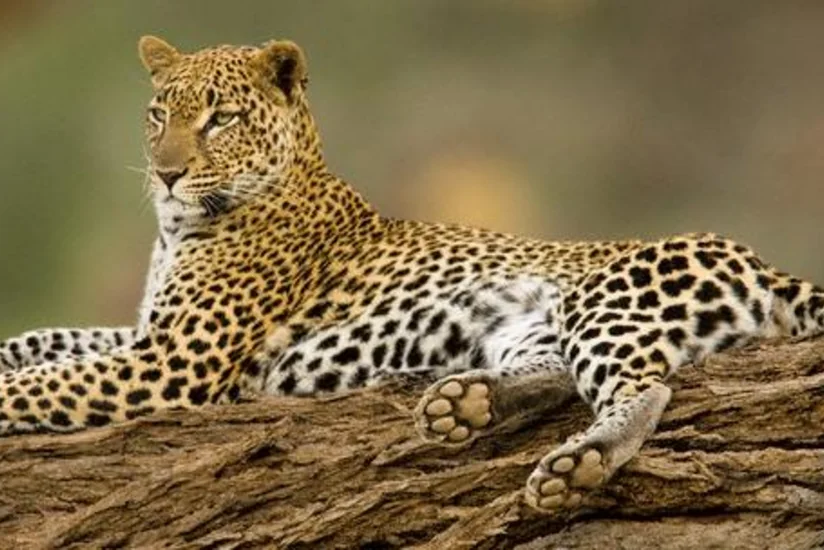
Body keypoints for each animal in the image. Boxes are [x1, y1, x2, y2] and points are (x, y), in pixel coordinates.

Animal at [1, 36, 822, 515]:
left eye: (221, 118)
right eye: (157, 114)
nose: (166, 175)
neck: (177, 230)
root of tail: (757, 259)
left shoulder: (172, 362)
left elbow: (41, 382)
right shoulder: (145, 335)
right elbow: (40, 342)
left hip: (606, 299)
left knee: (644, 387)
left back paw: (579, 462)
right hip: (531, 322)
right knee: (556, 373)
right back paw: (464, 404)